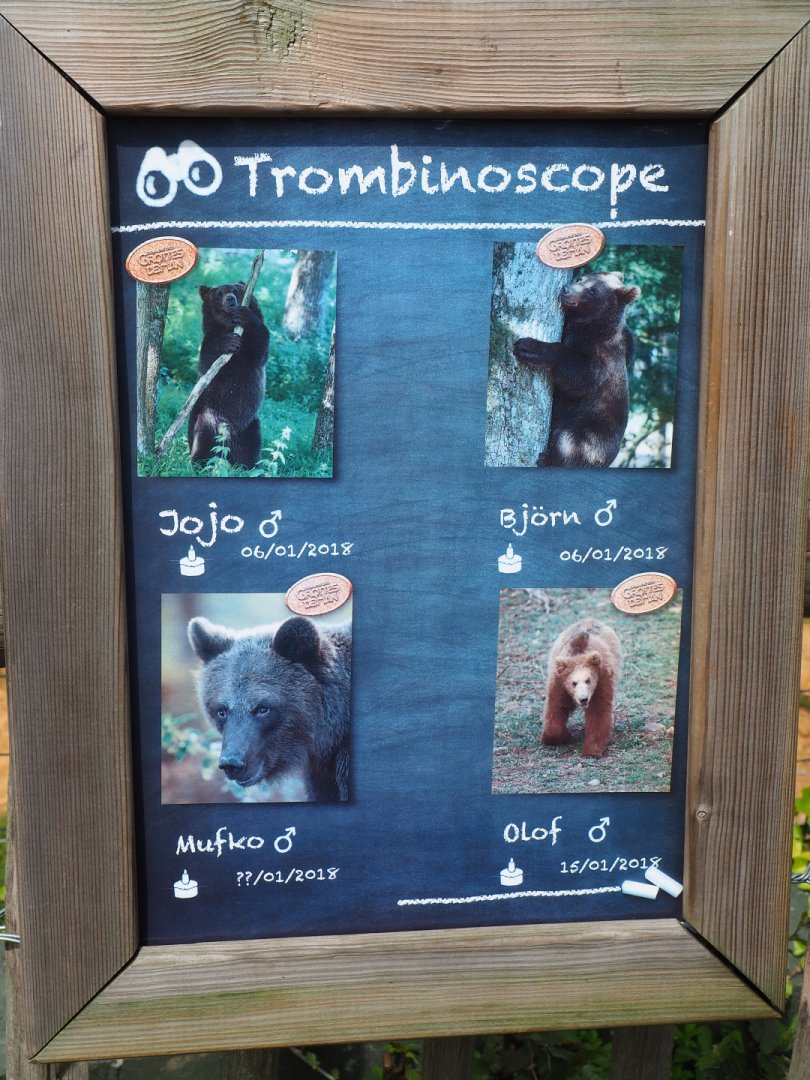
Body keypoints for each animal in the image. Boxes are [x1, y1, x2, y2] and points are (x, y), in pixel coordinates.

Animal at [187, 281, 270, 470]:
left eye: (235, 290)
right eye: (219, 293)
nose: (230, 299)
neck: (229, 325)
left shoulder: (251, 356)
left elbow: (260, 348)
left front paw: (245, 316)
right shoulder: (210, 340)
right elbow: (208, 362)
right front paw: (228, 342)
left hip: (249, 425)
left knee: (251, 447)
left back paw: (250, 466)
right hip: (208, 414)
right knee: (203, 436)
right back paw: (199, 462)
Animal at [513, 271, 640, 468]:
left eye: (592, 291)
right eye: (583, 278)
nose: (566, 289)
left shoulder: (600, 356)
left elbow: (579, 379)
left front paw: (528, 347)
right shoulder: (626, 344)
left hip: (590, 431)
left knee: (568, 439)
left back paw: (548, 459)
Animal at [541, 618, 622, 757]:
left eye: (588, 680)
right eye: (574, 683)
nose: (583, 699)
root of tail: (590, 619)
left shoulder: (600, 683)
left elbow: (597, 713)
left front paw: (591, 750)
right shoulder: (559, 684)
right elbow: (555, 711)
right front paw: (559, 737)